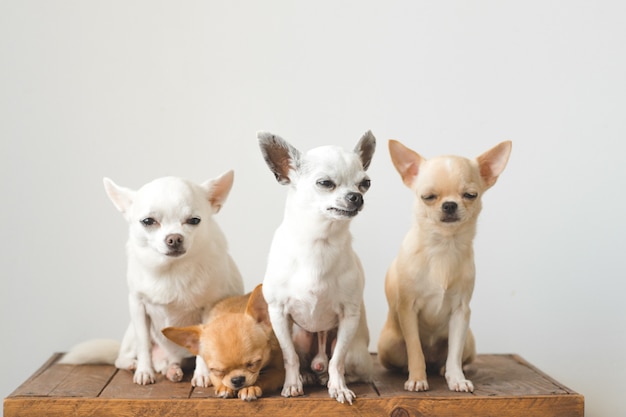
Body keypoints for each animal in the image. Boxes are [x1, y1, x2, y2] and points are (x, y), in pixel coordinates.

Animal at [378, 138, 510, 392]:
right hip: (388, 345)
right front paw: (417, 379)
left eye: (470, 195)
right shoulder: (408, 310)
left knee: (453, 356)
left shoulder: (460, 312)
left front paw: (456, 378)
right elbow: (415, 349)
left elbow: (454, 353)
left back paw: (443, 369)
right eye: (428, 197)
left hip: (470, 340)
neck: (443, 246)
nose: (449, 205)